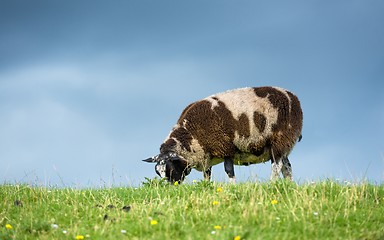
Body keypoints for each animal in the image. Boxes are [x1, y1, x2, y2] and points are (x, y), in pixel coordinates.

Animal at [144, 86, 304, 184]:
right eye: (158, 173)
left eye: (171, 169)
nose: (171, 189)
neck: (191, 136)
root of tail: (293, 97)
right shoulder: (206, 155)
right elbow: (207, 175)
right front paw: (206, 187)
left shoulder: (225, 147)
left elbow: (229, 170)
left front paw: (233, 186)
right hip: (283, 144)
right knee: (287, 167)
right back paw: (288, 185)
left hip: (279, 139)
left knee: (277, 166)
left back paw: (272, 183)